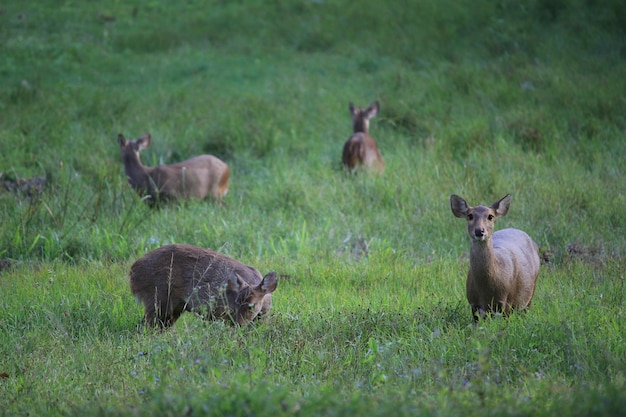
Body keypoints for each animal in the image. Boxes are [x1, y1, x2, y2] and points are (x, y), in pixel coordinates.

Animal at [128, 242, 276, 326]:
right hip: (157, 299)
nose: (238, 324)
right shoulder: (222, 313)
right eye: (235, 303)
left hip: (173, 308)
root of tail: (132, 271)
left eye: (251, 305)